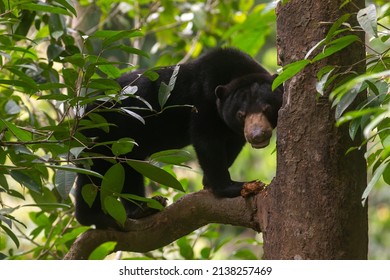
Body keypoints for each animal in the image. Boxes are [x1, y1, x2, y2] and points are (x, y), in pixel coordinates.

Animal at [74, 47, 284, 229]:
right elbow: (206, 140)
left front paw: (209, 181)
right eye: (241, 114)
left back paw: (142, 209)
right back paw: (97, 217)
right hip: (101, 132)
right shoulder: (202, 101)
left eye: (267, 109)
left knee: (126, 167)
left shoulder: (230, 129)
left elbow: (231, 146)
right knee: (94, 171)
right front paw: (233, 187)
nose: (257, 135)